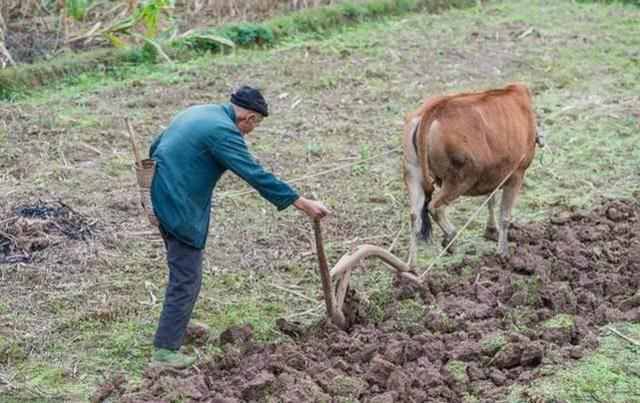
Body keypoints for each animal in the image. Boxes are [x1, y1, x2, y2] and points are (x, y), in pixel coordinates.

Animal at [404, 83, 540, 266]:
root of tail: (433, 111)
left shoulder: (495, 173)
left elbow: (491, 201)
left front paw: (491, 230)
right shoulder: (516, 174)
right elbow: (505, 216)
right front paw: (502, 253)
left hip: (413, 173)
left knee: (415, 216)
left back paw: (412, 265)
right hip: (459, 180)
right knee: (435, 207)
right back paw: (451, 238)